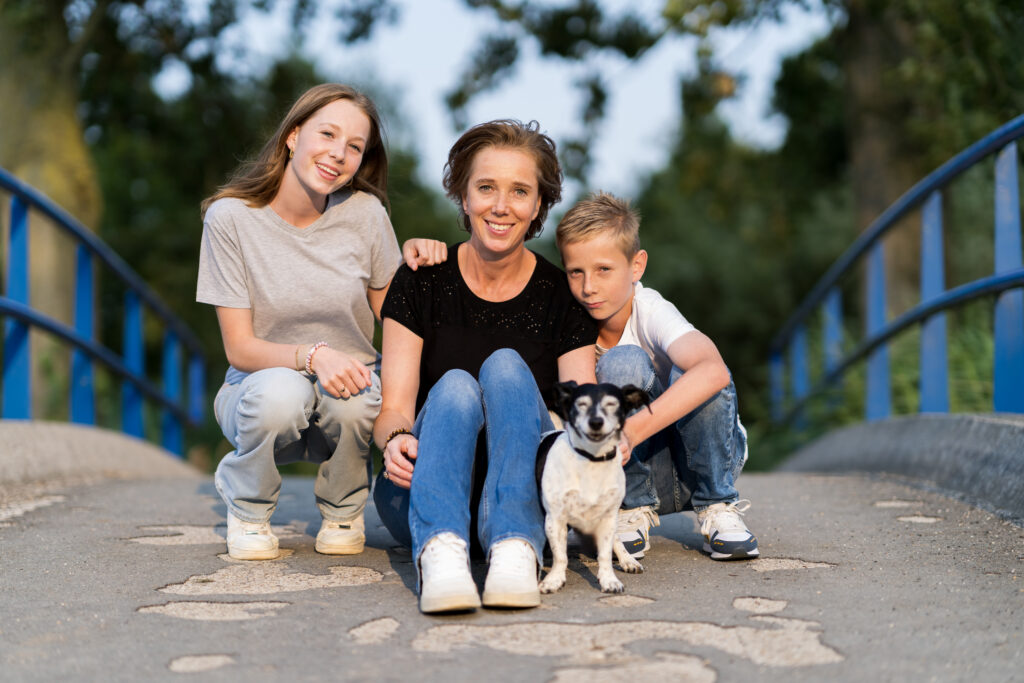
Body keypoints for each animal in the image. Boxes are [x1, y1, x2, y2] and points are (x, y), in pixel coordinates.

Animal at [536, 382, 647, 593]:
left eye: (612, 404)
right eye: (581, 404)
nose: (596, 422)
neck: (591, 461)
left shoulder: (607, 518)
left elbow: (605, 554)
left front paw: (609, 580)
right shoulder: (555, 519)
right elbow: (560, 556)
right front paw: (554, 580)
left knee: (616, 540)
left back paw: (627, 559)